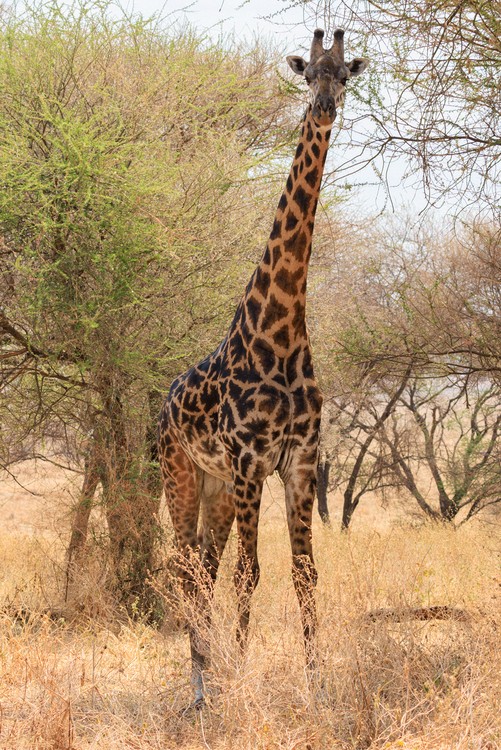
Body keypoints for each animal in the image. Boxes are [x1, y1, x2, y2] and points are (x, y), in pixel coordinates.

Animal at [158, 28, 368, 706]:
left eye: (344, 76)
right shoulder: (251, 458)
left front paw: (317, 686)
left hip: (219, 488)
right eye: (307, 74)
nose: (324, 109)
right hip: (182, 474)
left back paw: (207, 671)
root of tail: (162, 404)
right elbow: (250, 574)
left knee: (204, 565)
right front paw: (244, 677)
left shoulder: (299, 459)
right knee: (185, 568)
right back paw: (200, 685)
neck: (281, 328)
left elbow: (304, 573)